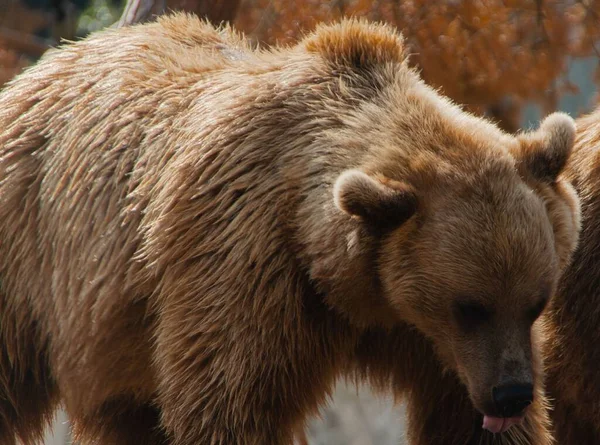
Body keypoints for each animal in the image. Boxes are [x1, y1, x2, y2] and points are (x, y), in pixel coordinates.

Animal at [0, 12, 580, 444]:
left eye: (536, 302)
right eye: (470, 307)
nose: (512, 393)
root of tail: (46, 64)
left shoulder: (422, 334)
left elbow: (462, 416)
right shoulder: (247, 264)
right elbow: (228, 401)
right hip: (31, 256)